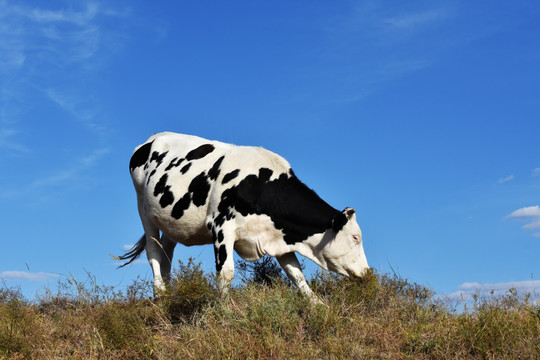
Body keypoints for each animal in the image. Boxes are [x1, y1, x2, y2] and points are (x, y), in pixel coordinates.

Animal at [119, 132, 370, 300]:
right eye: (355, 237)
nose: (367, 273)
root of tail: (153, 138)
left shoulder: (279, 237)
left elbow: (296, 274)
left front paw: (317, 306)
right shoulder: (221, 227)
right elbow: (226, 274)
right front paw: (223, 310)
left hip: (173, 221)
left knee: (167, 251)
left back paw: (170, 292)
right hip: (144, 210)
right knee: (153, 251)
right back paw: (160, 294)